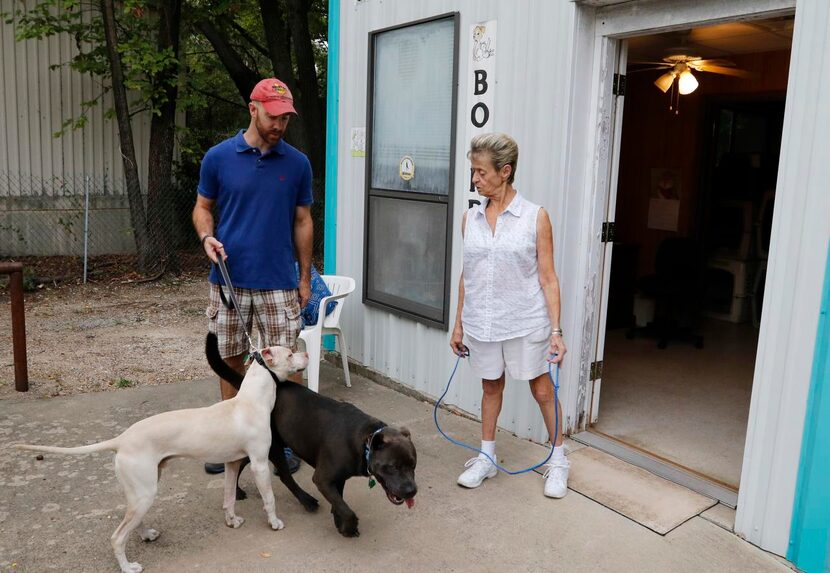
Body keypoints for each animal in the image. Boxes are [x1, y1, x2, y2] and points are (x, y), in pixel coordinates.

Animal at [15, 340, 308, 572]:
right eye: (289, 353)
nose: (305, 352)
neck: (250, 401)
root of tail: (121, 440)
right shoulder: (259, 465)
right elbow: (269, 499)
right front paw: (274, 523)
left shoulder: (232, 464)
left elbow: (229, 499)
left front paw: (231, 521)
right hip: (145, 492)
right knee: (117, 537)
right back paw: (129, 567)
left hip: (141, 490)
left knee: (132, 521)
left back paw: (146, 534)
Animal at [206, 330, 420, 536]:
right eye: (392, 467)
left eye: (413, 466)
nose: (412, 491)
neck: (364, 439)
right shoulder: (323, 479)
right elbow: (346, 509)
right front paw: (349, 526)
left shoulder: (337, 478)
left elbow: (339, 502)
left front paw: (340, 523)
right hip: (272, 447)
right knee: (284, 476)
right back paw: (306, 500)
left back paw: (238, 490)